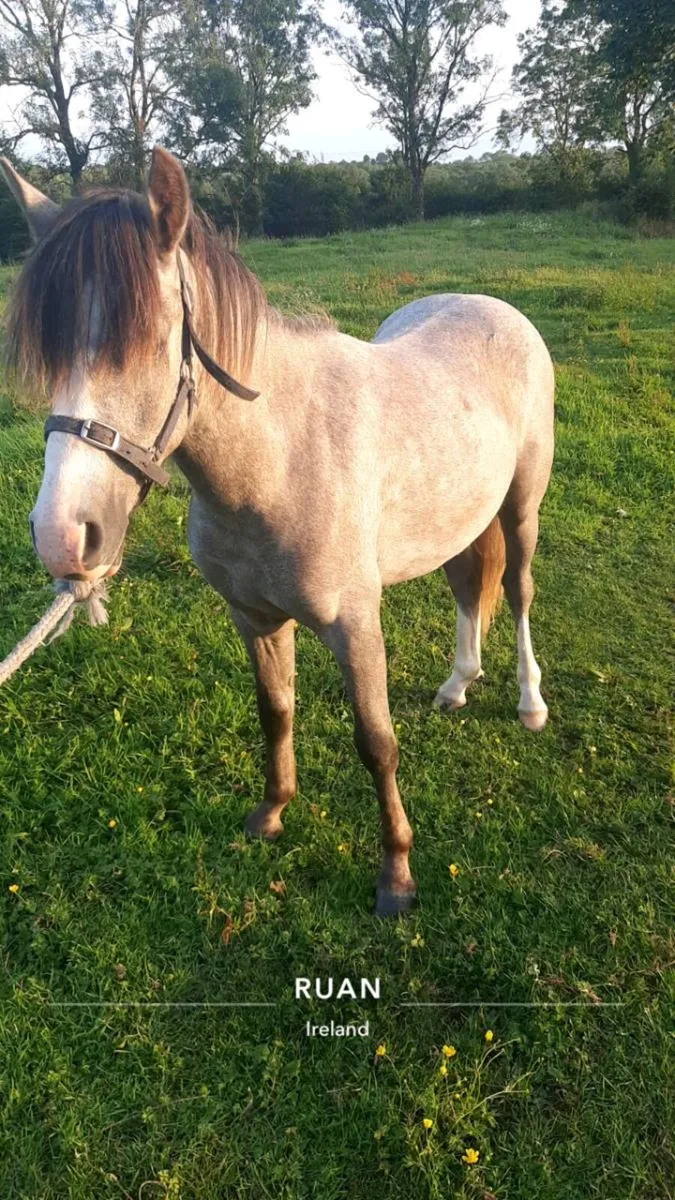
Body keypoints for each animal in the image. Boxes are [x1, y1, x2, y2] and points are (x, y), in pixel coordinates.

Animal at [1, 147, 554, 916]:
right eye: (50, 354)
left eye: (146, 342)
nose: (61, 536)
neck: (283, 458)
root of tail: (496, 308)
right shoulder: (255, 617)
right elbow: (276, 711)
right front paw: (270, 814)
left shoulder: (355, 624)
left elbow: (376, 741)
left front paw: (396, 874)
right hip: (459, 521)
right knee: (468, 588)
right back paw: (456, 686)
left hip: (522, 506)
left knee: (521, 593)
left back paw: (529, 704)